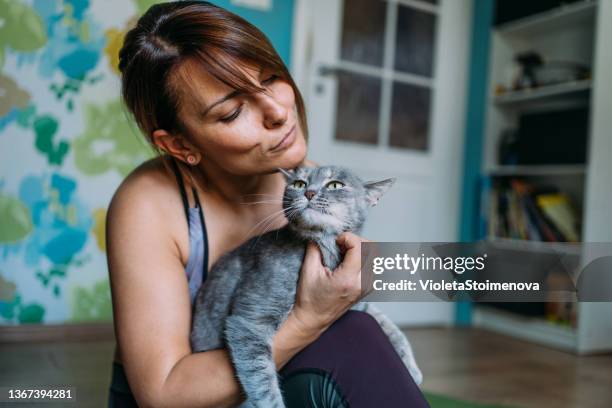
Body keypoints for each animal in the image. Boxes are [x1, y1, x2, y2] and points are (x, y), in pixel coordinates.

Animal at [190, 166, 420, 408]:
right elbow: (263, 383)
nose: (309, 192)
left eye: (335, 185)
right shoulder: (249, 321)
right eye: (299, 184)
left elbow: (382, 319)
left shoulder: (352, 305)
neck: (326, 248)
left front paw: (411, 367)